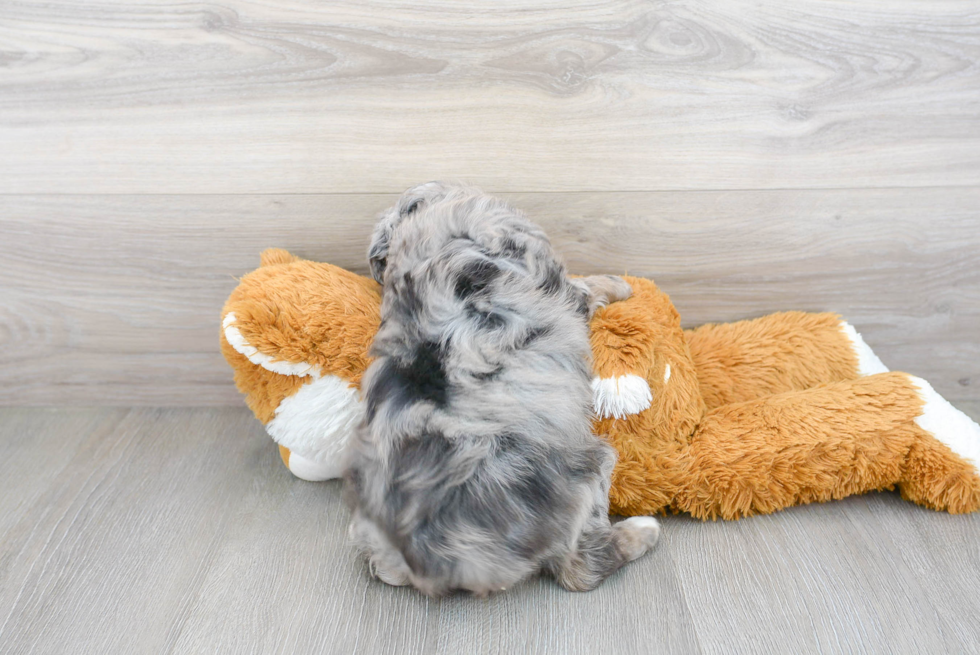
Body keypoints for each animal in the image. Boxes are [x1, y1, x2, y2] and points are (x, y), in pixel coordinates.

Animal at [344, 182, 660, 596]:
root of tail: (428, 555)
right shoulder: (561, 286)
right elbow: (590, 284)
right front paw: (624, 283)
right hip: (586, 471)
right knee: (580, 569)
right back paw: (642, 531)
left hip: (365, 534)